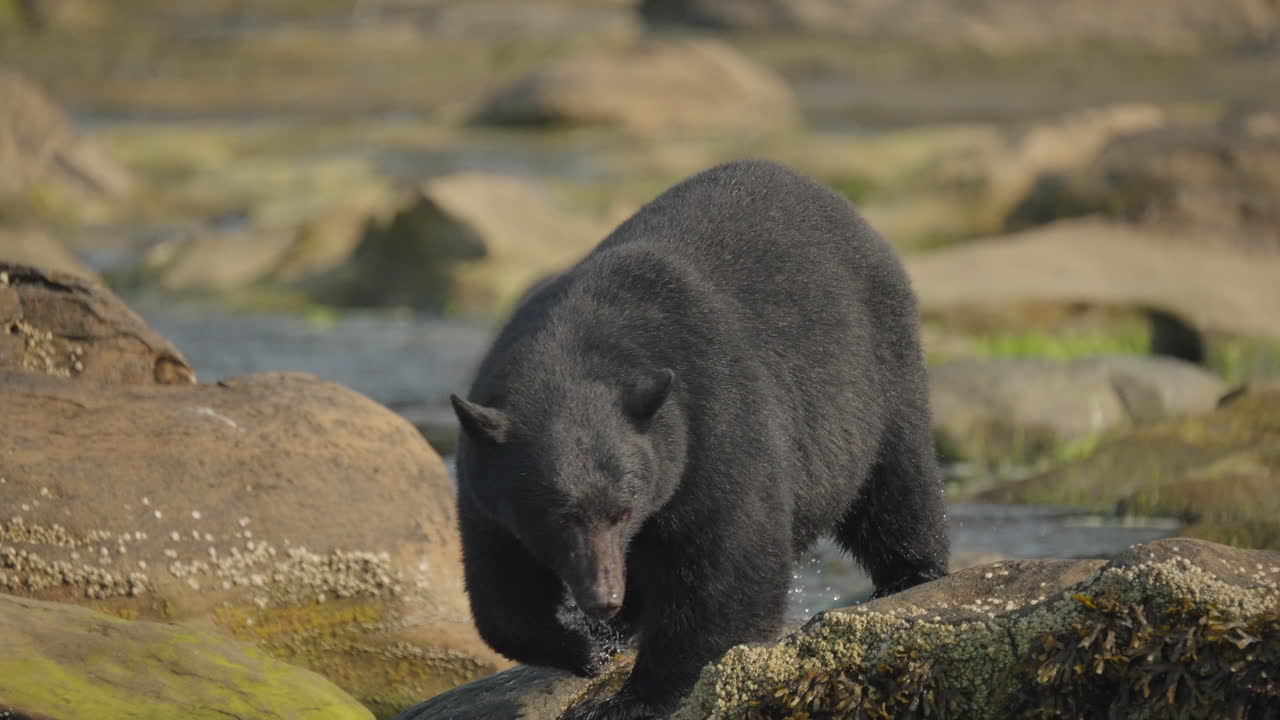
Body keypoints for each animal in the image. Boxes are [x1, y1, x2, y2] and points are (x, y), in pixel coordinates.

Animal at [449, 159, 950, 720]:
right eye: (559, 516)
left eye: (622, 511)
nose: (603, 597)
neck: (573, 348)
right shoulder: (484, 482)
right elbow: (500, 591)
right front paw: (585, 649)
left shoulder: (713, 424)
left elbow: (727, 567)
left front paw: (636, 696)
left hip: (880, 365)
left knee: (897, 478)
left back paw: (912, 573)